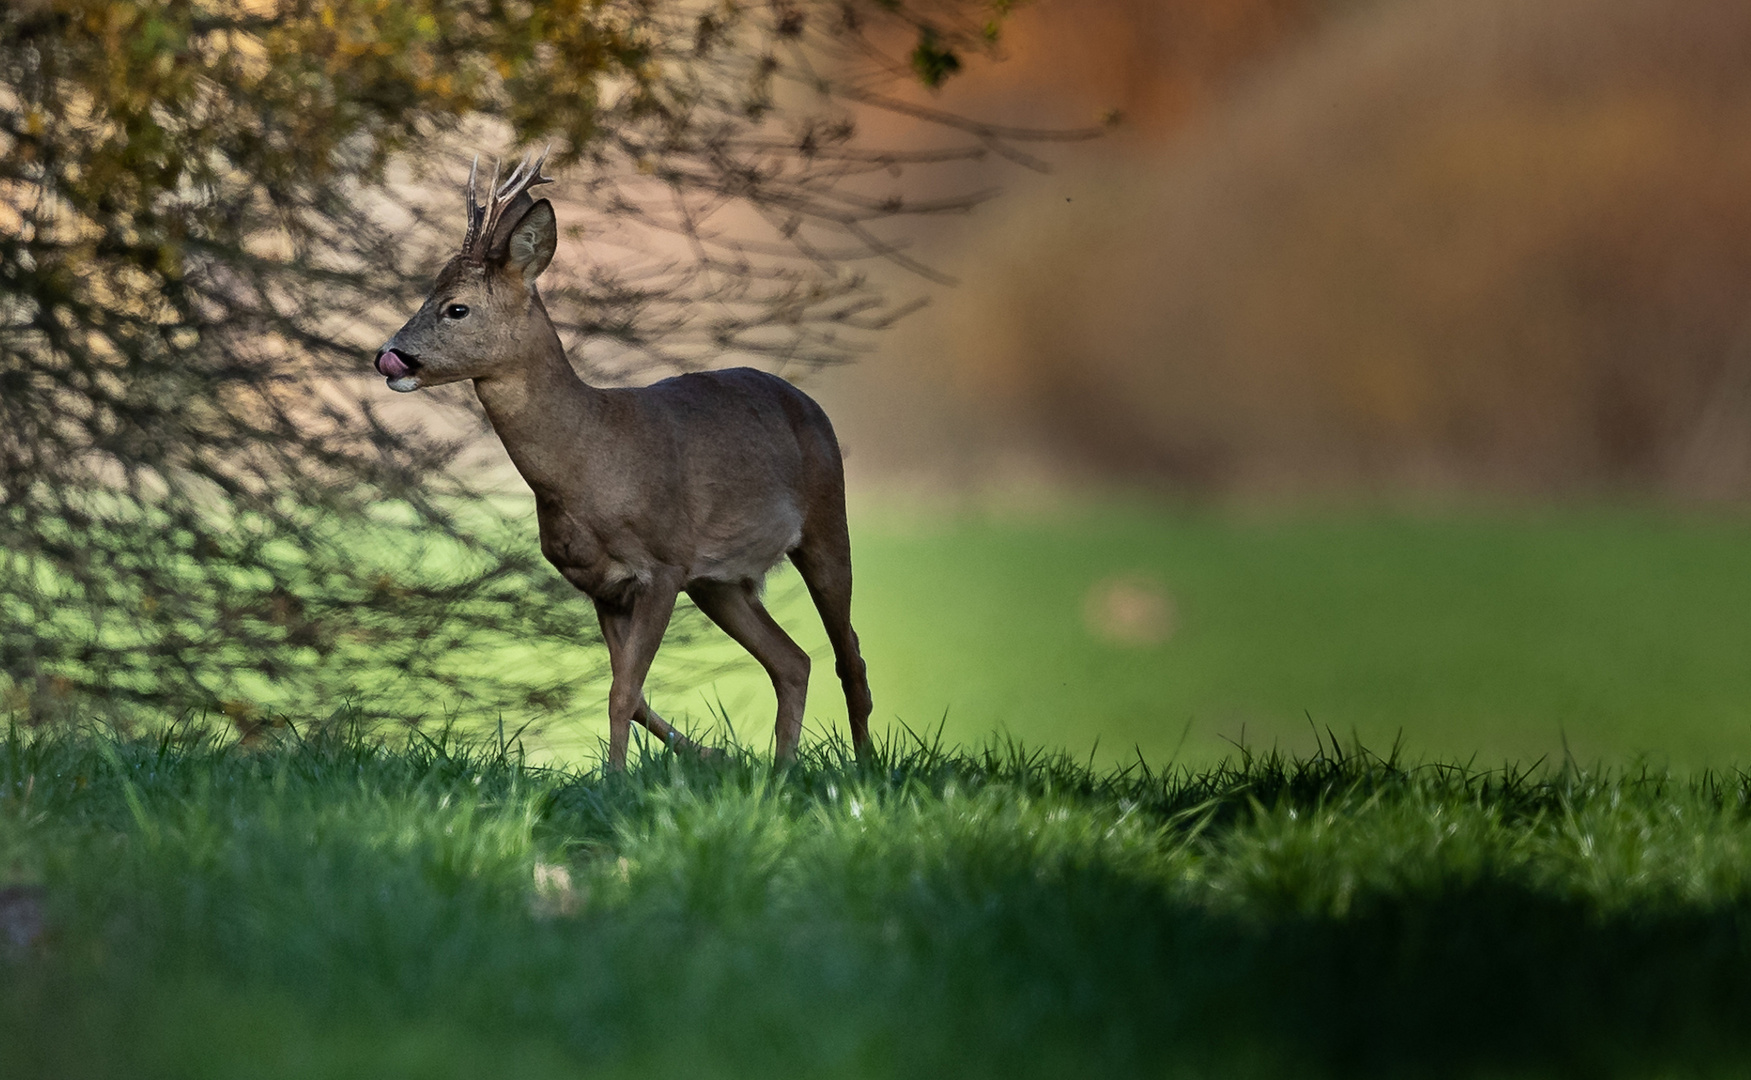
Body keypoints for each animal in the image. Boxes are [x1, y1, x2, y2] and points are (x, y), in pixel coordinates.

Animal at [381, 154, 875, 766]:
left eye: (456, 308)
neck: (591, 458)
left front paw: (619, 777)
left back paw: (863, 765)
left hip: (827, 520)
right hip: (719, 583)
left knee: (849, 655)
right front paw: (695, 756)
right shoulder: (603, 585)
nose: (390, 357)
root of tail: (808, 403)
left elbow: (623, 693)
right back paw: (781, 768)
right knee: (793, 661)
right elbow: (631, 693)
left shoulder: (663, 564)